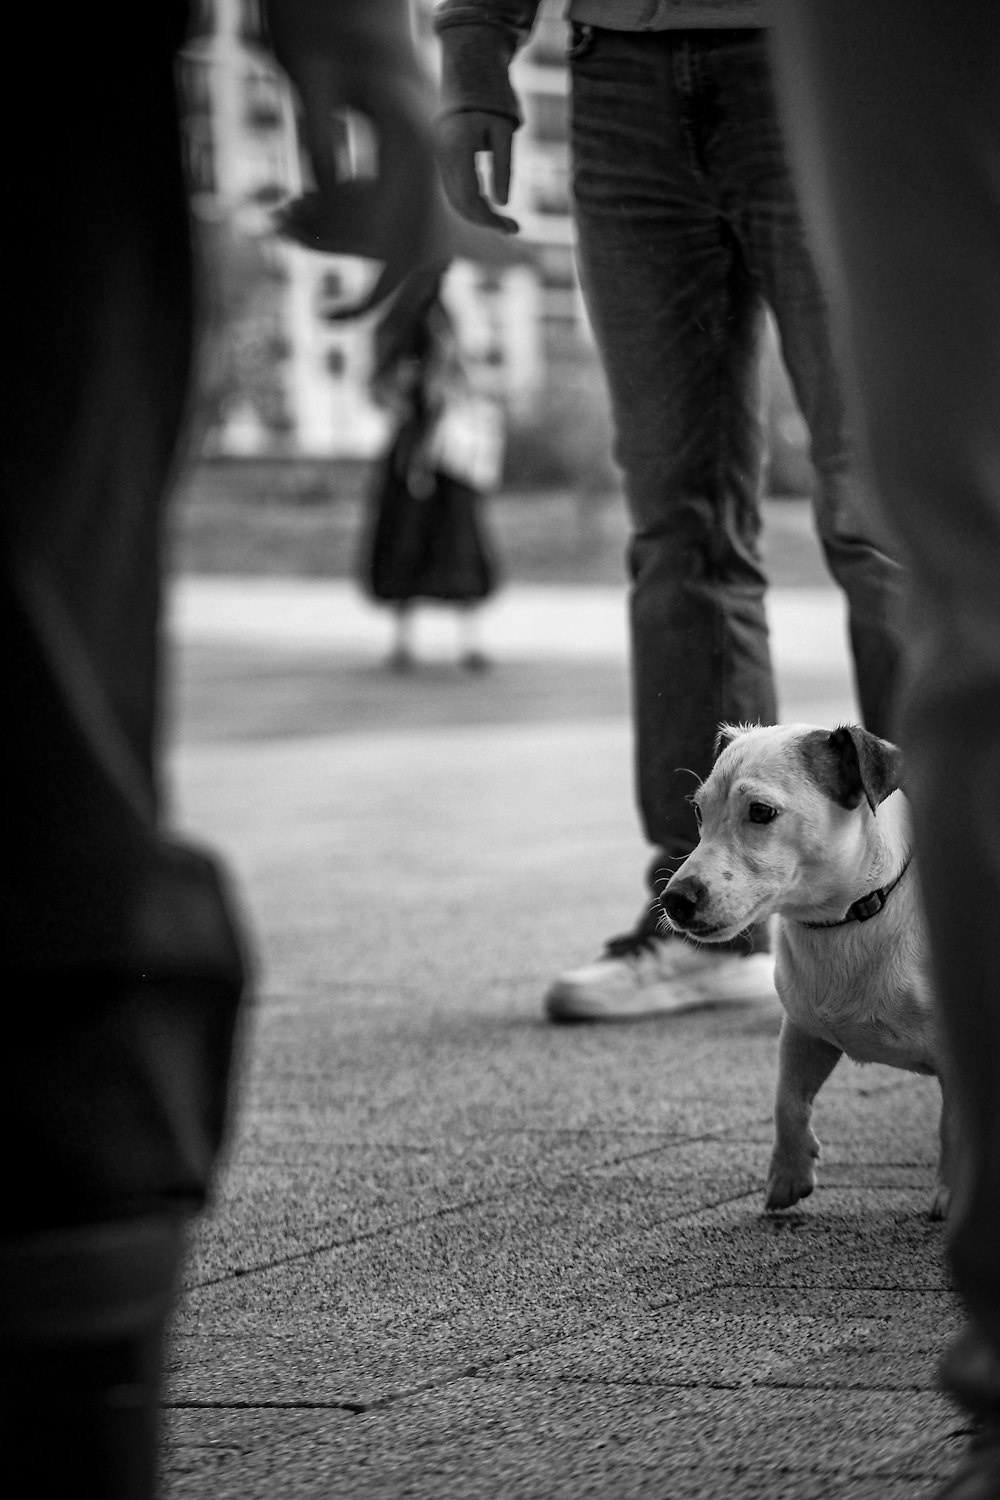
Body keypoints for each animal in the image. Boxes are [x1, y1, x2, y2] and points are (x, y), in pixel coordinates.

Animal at [659, 720, 953, 1224]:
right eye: (699, 811)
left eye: (761, 811)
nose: (674, 900)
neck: (850, 917)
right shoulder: (804, 1030)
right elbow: (787, 1101)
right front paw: (788, 1175)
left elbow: (955, 1125)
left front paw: (955, 1193)